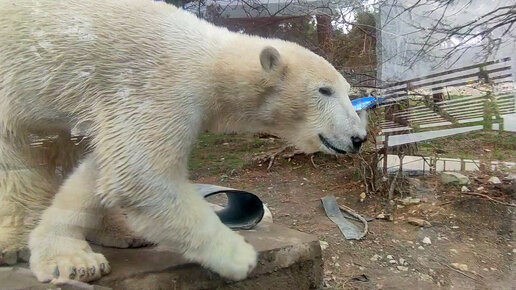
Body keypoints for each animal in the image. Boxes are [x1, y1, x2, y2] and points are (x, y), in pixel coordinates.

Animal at [1, 0, 366, 284]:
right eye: (323, 90)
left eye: (347, 89)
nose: (358, 137)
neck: (209, 59)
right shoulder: (157, 86)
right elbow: (140, 176)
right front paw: (239, 257)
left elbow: (103, 167)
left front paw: (68, 254)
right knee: (18, 156)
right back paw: (13, 243)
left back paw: (124, 232)